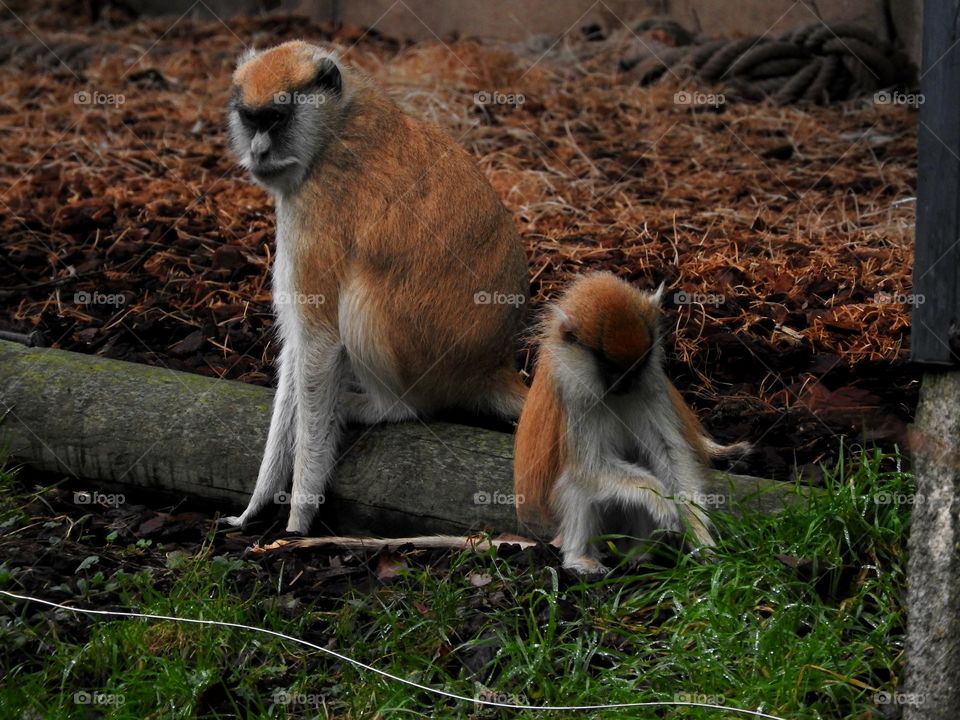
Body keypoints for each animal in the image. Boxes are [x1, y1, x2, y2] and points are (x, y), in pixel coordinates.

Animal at [222, 40, 528, 536]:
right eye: (251, 119)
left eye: (277, 119)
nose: (259, 151)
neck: (334, 125)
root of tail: (490, 366)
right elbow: (297, 348)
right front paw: (257, 502)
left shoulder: (315, 207)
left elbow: (318, 343)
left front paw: (298, 518)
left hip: (419, 361)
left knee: (362, 301)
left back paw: (389, 407)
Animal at [516, 272, 752, 572]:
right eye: (611, 368)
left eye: (638, 365)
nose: (626, 384)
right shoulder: (575, 401)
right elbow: (589, 468)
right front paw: (658, 497)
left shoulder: (650, 388)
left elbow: (670, 455)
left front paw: (697, 532)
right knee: (577, 484)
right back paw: (582, 559)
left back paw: (639, 556)